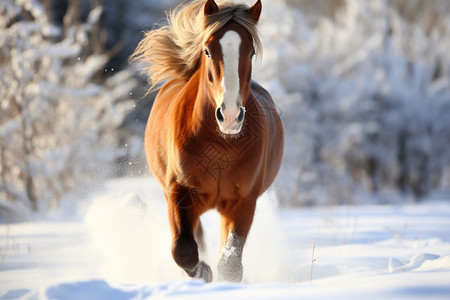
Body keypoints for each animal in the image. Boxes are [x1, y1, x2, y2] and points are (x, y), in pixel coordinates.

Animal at [132, 0, 284, 282]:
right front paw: (203, 273)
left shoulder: (243, 200)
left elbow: (230, 266)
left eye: (251, 52)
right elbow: (183, 249)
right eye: (207, 51)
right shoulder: (179, 192)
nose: (230, 116)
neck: (221, 144)